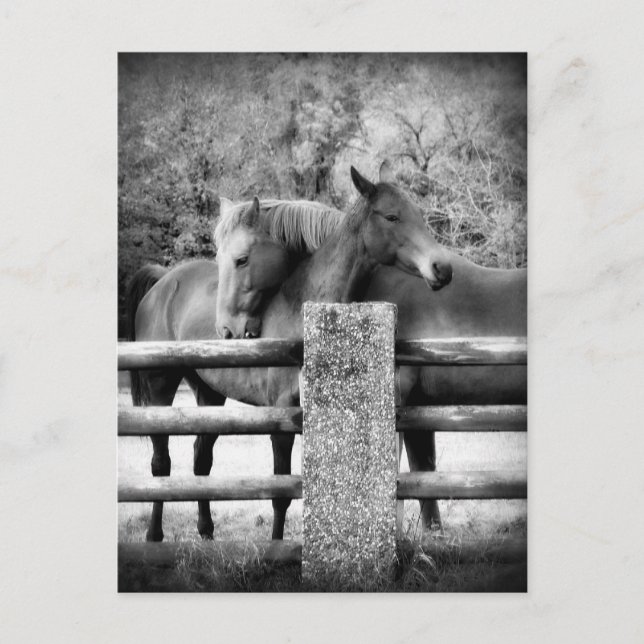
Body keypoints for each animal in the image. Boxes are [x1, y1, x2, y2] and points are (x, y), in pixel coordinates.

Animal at [126, 165, 453, 541]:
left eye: (419, 215)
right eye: (392, 216)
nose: (442, 268)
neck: (303, 310)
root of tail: (163, 282)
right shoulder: (281, 418)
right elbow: (281, 491)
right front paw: (276, 544)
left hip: (209, 393)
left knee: (201, 460)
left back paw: (207, 532)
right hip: (160, 389)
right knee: (161, 464)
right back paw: (154, 535)